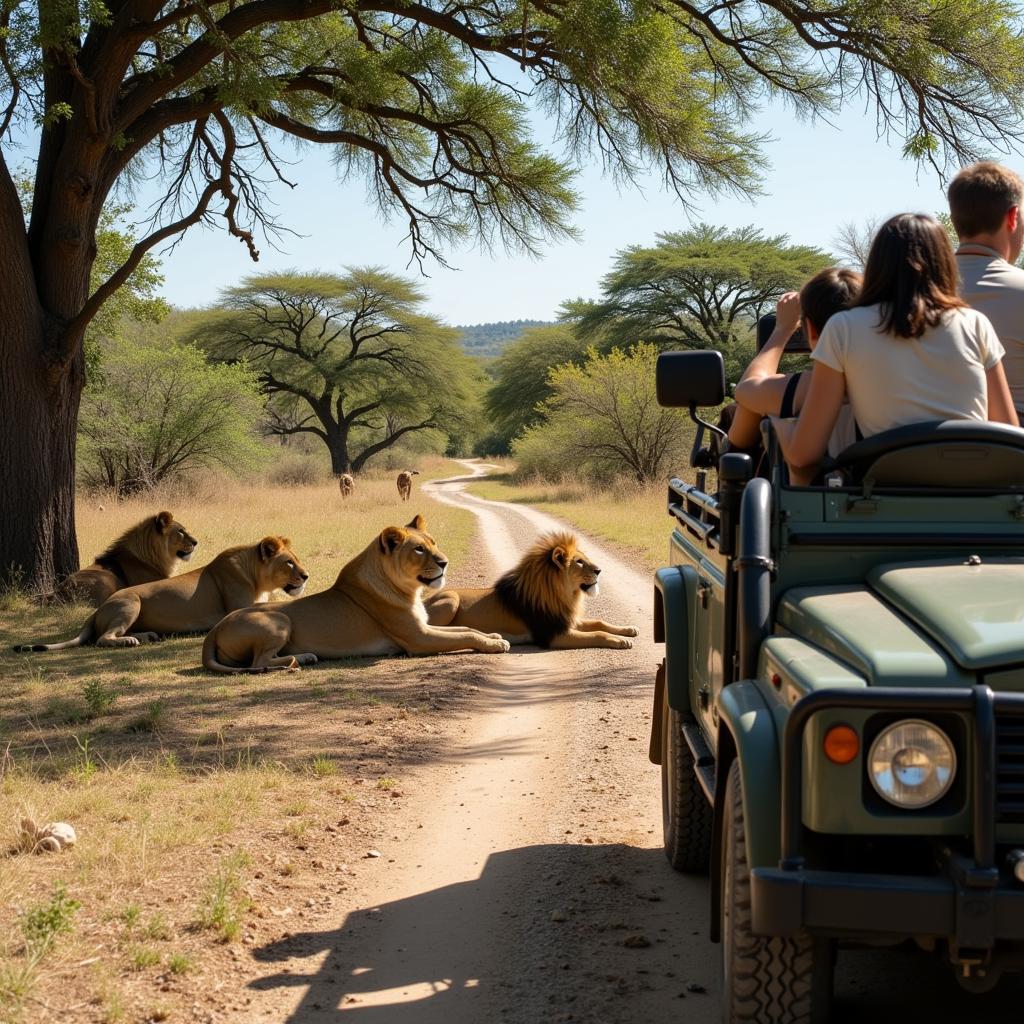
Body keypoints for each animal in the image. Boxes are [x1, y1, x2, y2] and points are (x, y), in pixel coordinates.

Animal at [18, 532, 305, 651]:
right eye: (289, 562)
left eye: (297, 560)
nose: (306, 576)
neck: (257, 577)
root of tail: (97, 610)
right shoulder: (236, 607)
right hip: (131, 601)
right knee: (103, 638)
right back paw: (131, 641)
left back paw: (146, 636)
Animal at [200, 512, 512, 671]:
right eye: (419, 549)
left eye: (433, 542)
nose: (444, 562)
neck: (408, 590)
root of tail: (214, 629)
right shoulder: (417, 639)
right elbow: (465, 634)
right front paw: (496, 644)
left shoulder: (423, 627)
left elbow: (466, 628)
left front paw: (495, 635)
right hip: (280, 620)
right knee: (258, 663)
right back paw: (302, 658)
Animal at [421, 532, 634, 651]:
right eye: (579, 562)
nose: (599, 570)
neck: (564, 595)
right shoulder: (553, 635)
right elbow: (598, 634)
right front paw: (621, 641)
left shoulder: (566, 621)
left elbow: (599, 622)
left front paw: (629, 630)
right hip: (451, 600)